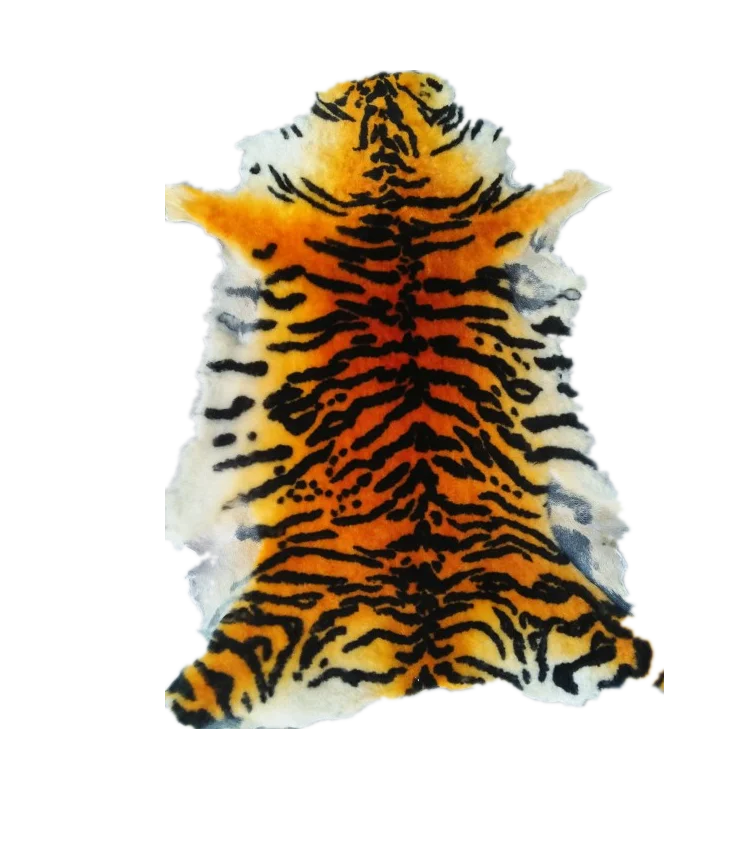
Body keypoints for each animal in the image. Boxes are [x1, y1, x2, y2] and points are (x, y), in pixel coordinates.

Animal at [161, 70, 663, 730]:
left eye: (361, 95)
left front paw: (176, 195)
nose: (382, 72)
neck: (391, 177)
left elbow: (217, 205)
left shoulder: (269, 221)